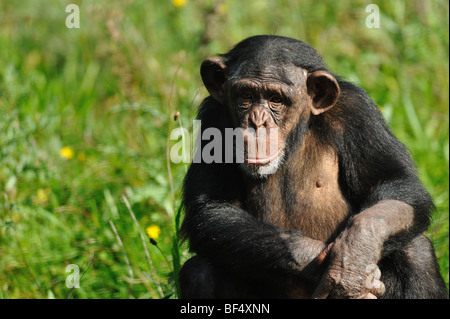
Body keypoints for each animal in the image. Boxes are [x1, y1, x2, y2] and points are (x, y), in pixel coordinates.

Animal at [178, 35, 448, 300]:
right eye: (246, 96)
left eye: (276, 99)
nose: (257, 121)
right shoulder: (214, 117)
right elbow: (212, 208)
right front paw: (315, 258)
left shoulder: (358, 112)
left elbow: (396, 181)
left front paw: (355, 255)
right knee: (200, 272)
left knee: (417, 251)